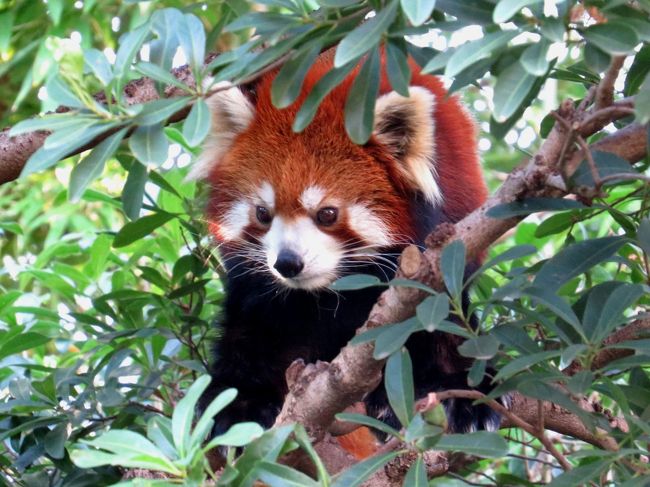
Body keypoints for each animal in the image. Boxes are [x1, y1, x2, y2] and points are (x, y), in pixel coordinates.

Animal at [192, 51, 496, 460]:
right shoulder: (261, 291)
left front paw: (459, 391)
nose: (287, 263)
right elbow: (253, 331)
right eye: (263, 213)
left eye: (327, 214)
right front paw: (239, 406)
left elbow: (439, 320)